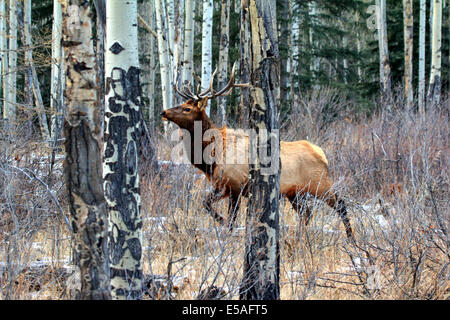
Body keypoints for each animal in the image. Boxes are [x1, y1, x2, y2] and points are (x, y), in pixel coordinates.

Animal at [160, 63, 354, 238]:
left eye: (187, 108)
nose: (163, 112)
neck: (211, 160)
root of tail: (322, 154)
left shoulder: (235, 185)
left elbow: (231, 218)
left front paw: (225, 228)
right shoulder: (220, 186)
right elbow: (205, 203)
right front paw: (222, 222)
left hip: (320, 184)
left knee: (341, 205)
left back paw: (351, 238)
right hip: (294, 192)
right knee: (306, 213)